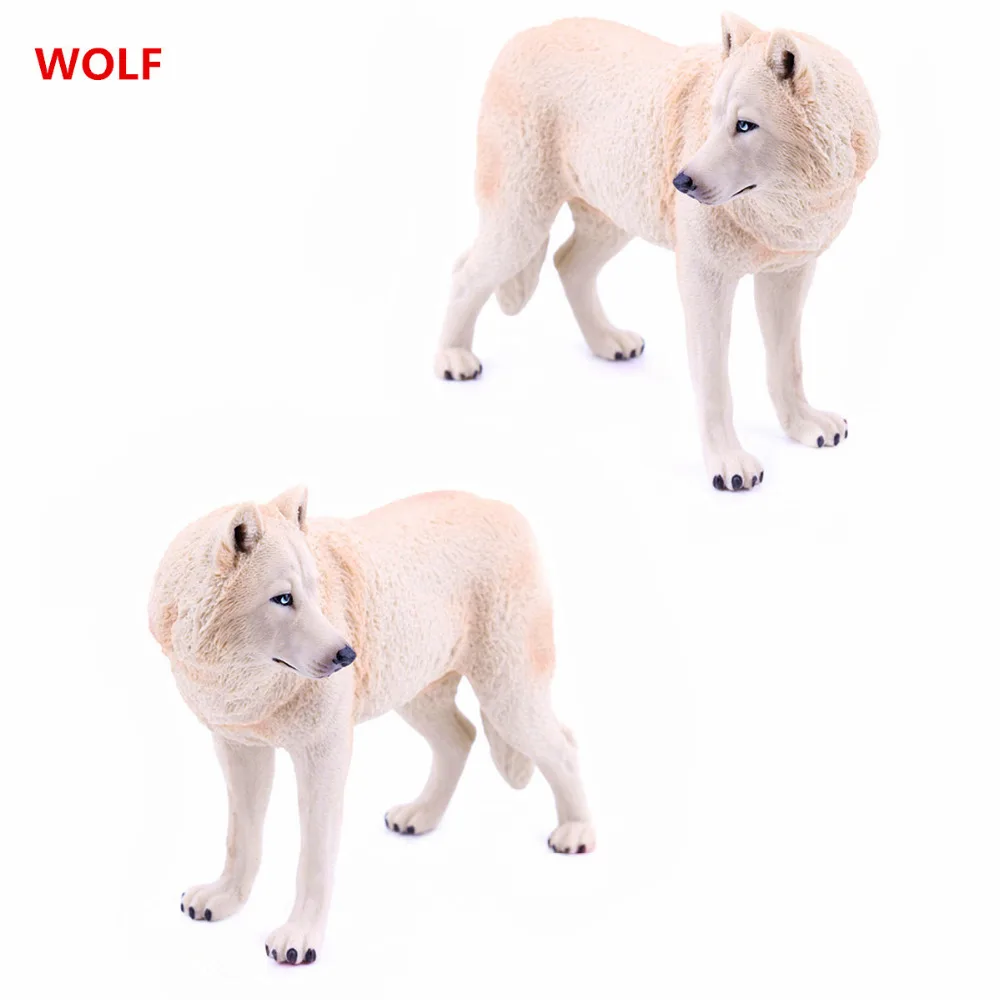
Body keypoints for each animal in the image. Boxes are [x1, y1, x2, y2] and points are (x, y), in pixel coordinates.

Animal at [148, 487, 594, 964]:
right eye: (283, 598)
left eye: (316, 591)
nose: (347, 655)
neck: (245, 681)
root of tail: (505, 509)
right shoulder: (240, 749)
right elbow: (241, 838)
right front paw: (225, 898)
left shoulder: (323, 754)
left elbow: (314, 856)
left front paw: (300, 938)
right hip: (415, 690)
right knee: (462, 736)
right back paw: (420, 815)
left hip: (507, 695)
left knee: (565, 744)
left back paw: (576, 831)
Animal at [435, 15, 878, 490]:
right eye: (713, 119)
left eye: (744, 125)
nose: (681, 182)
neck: (784, 207)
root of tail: (522, 37)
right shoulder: (706, 280)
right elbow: (715, 383)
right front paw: (728, 464)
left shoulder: (787, 275)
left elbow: (787, 364)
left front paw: (803, 424)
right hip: (522, 221)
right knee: (464, 271)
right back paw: (453, 358)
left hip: (613, 217)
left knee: (567, 262)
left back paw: (608, 341)